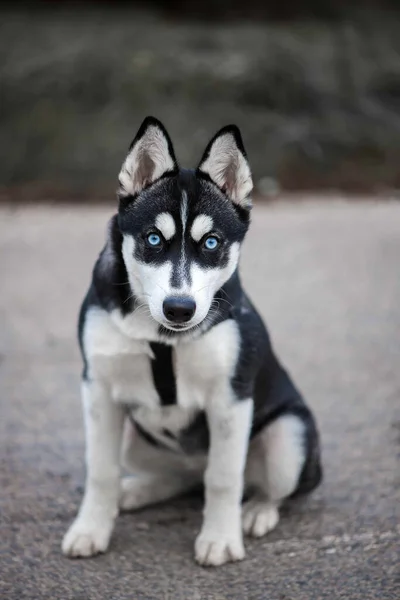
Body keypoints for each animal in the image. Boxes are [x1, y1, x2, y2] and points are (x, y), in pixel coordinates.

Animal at [61, 118, 322, 568]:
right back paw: (137, 490)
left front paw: (220, 538)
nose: (179, 308)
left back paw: (257, 511)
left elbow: (223, 478)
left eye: (212, 243)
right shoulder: (98, 389)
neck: (162, 338)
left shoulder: (230, 401)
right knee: (181, 477)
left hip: (288, 437)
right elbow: (101, 470)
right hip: (134, 441)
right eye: (152, 239)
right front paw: (91, 529)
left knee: (264, 486)